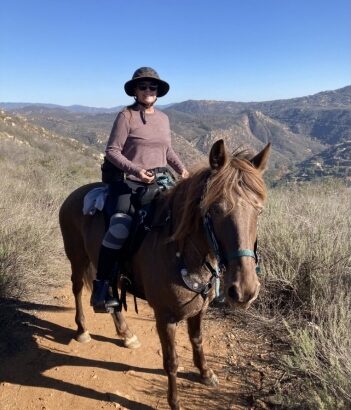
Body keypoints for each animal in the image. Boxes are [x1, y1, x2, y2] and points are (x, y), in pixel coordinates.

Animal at [59, 139, 270, 408]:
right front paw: (174, 402)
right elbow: (171, 361)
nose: (244, 291)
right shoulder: (165, 317)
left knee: (111, 294)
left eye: (259, 211)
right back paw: (82, 330)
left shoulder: (199, 310)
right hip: (77, 258)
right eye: (215, 209)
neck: (180, 250)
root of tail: (74, 195)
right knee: (77, 288)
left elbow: (197, 340)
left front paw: (206, 373)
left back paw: (126, 334)